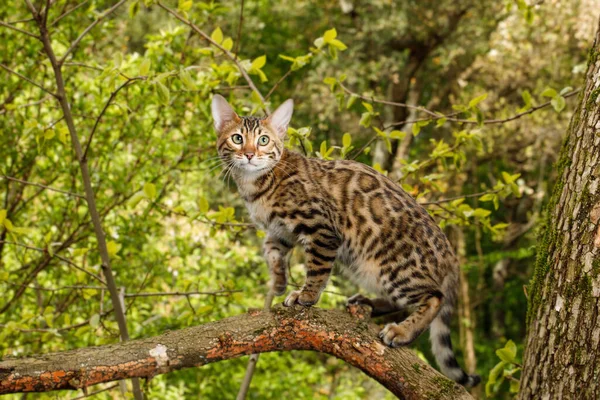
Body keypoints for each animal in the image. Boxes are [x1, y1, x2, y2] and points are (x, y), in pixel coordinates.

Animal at [212, 94, 482, 388]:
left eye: (263, 140)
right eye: (237, 138)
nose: (250, 154)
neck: (257, 184)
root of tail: (451, 254)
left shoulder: (321, 228)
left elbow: (317, 269)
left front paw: (305, 295)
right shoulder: (279, 232)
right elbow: (272, 253)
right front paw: (279, 282)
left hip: (394, 268)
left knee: (434, 297)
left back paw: (401, 331)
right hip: (368, 268)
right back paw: (369, 303)